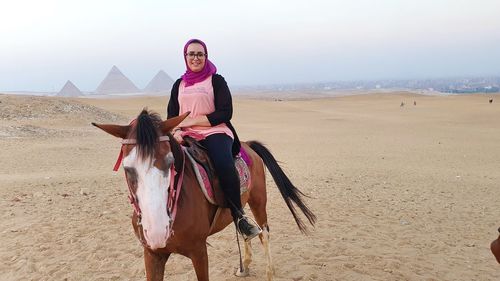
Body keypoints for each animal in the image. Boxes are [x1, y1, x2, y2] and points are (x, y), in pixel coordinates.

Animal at [92, 109, 314, 280]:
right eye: (127, 168)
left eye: (170, 162)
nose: (157, 232)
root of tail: (248, 145)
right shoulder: (152, 254)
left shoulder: (199, 251)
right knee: (243, 226)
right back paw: (245, 265)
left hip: (258, 200)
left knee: (264, 233)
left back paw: (269, 271)